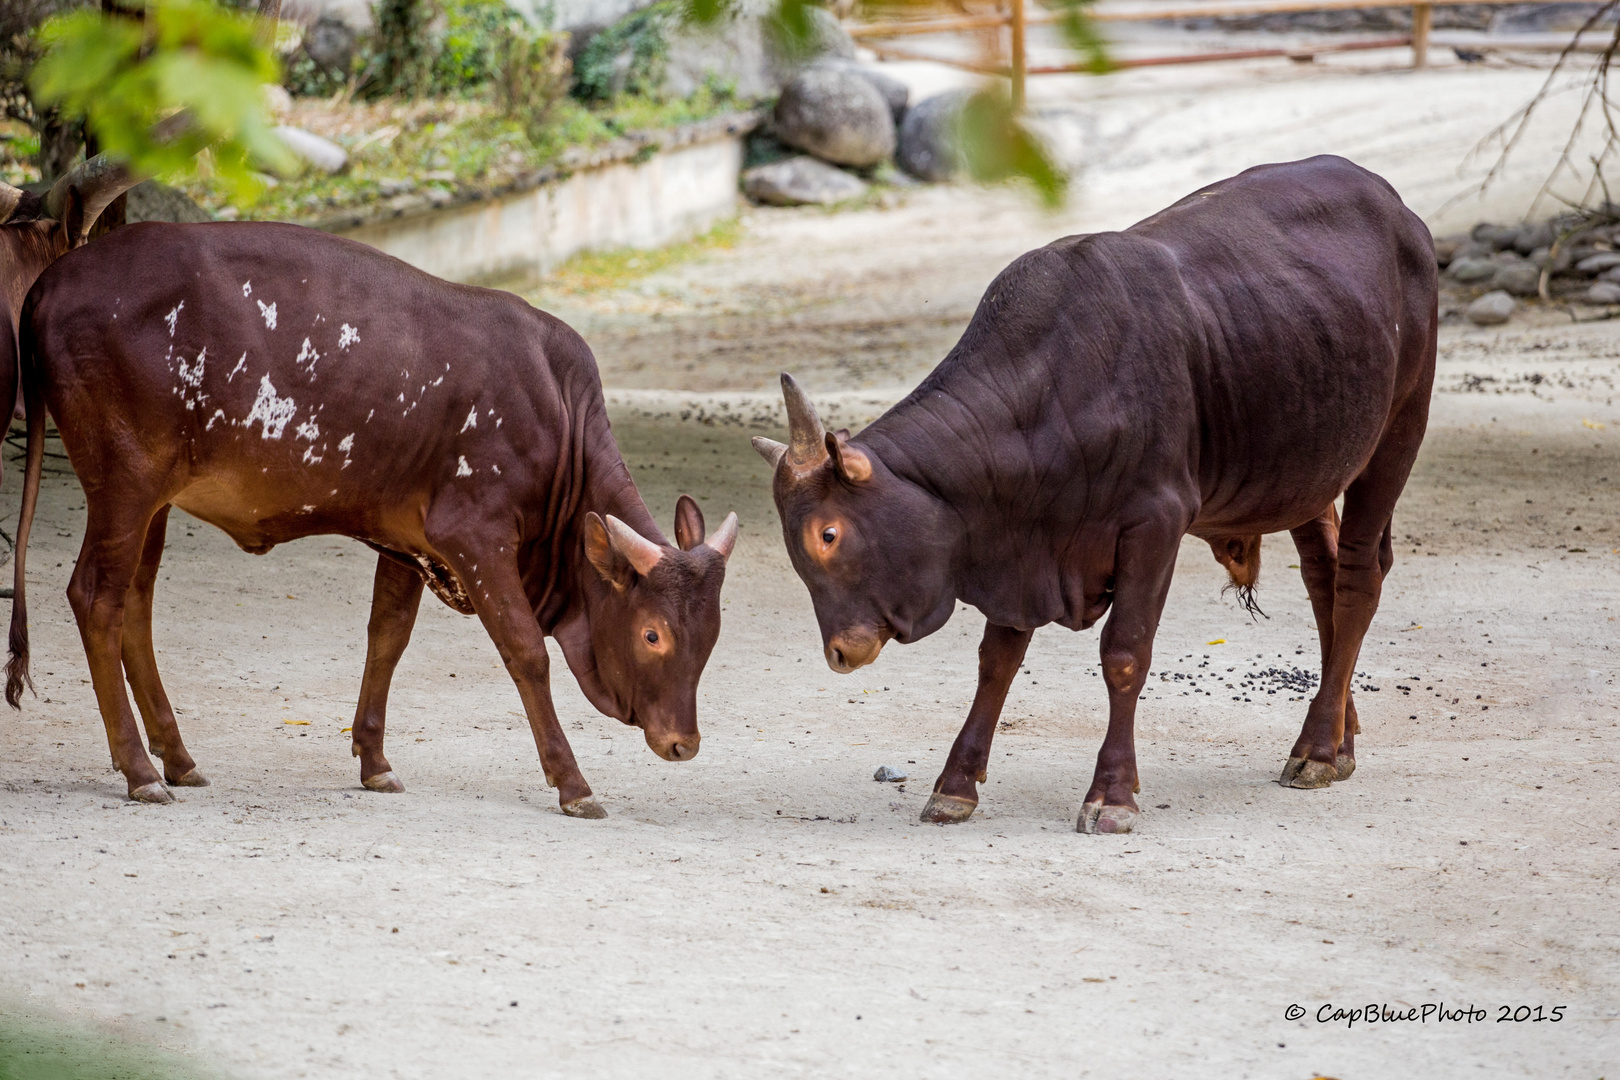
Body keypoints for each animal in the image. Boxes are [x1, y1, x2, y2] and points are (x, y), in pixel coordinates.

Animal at [751, 156, 1438, 835]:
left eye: (829, 534)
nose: (841, 652)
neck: (1057, 389)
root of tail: (1392, 203)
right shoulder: (1020, 537)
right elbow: (996, 661)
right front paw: (955, 784)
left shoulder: (1156, 525)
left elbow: (1124, 654)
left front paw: (1112, 793)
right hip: (1306, 470)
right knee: (1322, 580)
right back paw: (1337, 738)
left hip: (1397, 431)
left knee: (1356, 578)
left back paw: (1319, 748)